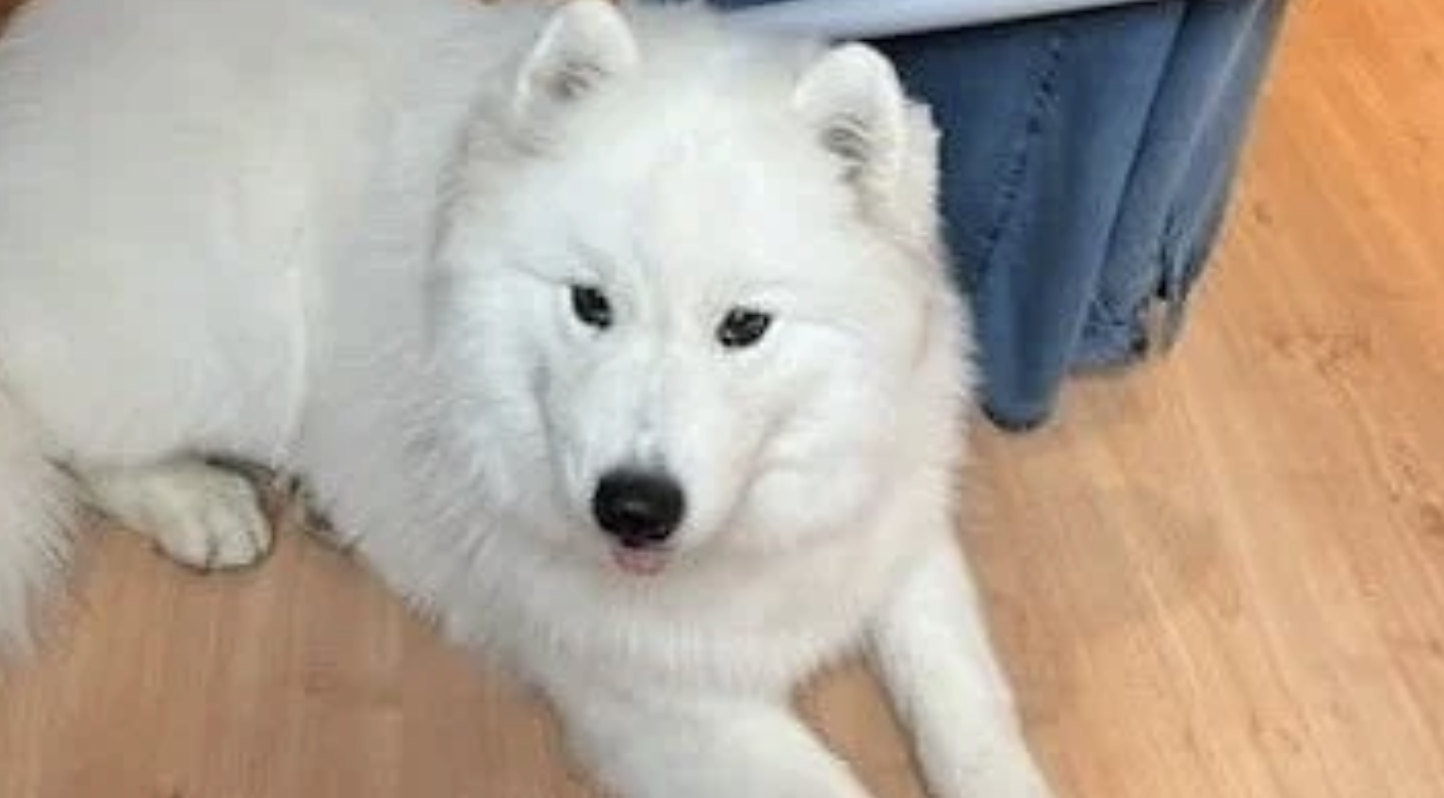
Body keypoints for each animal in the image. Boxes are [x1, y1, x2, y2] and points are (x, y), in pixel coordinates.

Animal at [0, 0, 1054, 795]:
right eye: (591, 304)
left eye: (744, 327)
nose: (633, 507)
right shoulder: (663, 707)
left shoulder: (894, 541)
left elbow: (968, 701)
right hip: (221, 336)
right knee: (57, 421)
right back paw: (197, 501)